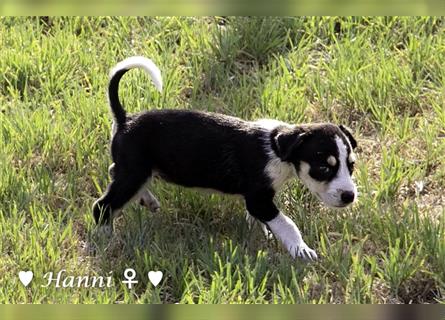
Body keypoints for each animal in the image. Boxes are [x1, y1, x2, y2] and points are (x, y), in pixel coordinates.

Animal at [91, 57, 358, 260]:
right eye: (323, 167)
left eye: (351, 166)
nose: (350, 196)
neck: (277, 148)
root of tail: (125, 119)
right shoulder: (258, 199)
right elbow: (286, 223)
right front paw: (301, 250)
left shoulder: (258, 200)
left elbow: (263, 221)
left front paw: (262, 233)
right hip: (134, 172)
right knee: (102, 205)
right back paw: (106, 237)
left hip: (136, 170)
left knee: (113, 170)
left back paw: (147, 200)